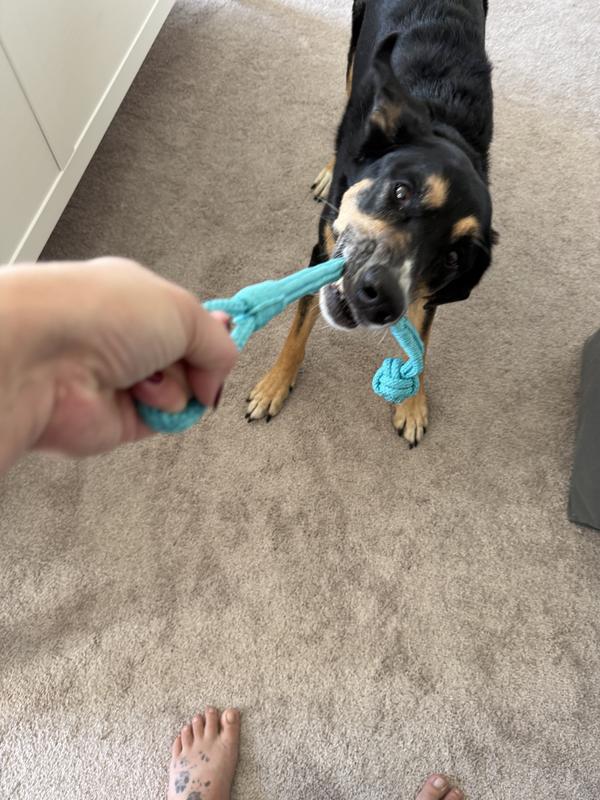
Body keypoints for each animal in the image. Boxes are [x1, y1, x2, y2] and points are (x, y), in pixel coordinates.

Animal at [247, 0, 497, 446]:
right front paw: (274, 385)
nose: (381, 299)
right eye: (400, 192)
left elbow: (422, 339)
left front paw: (412, 404)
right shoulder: (323, 250)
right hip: (354, 50)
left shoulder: (426, 293)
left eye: (452, 258)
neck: (443, 125)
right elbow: (297, 329)